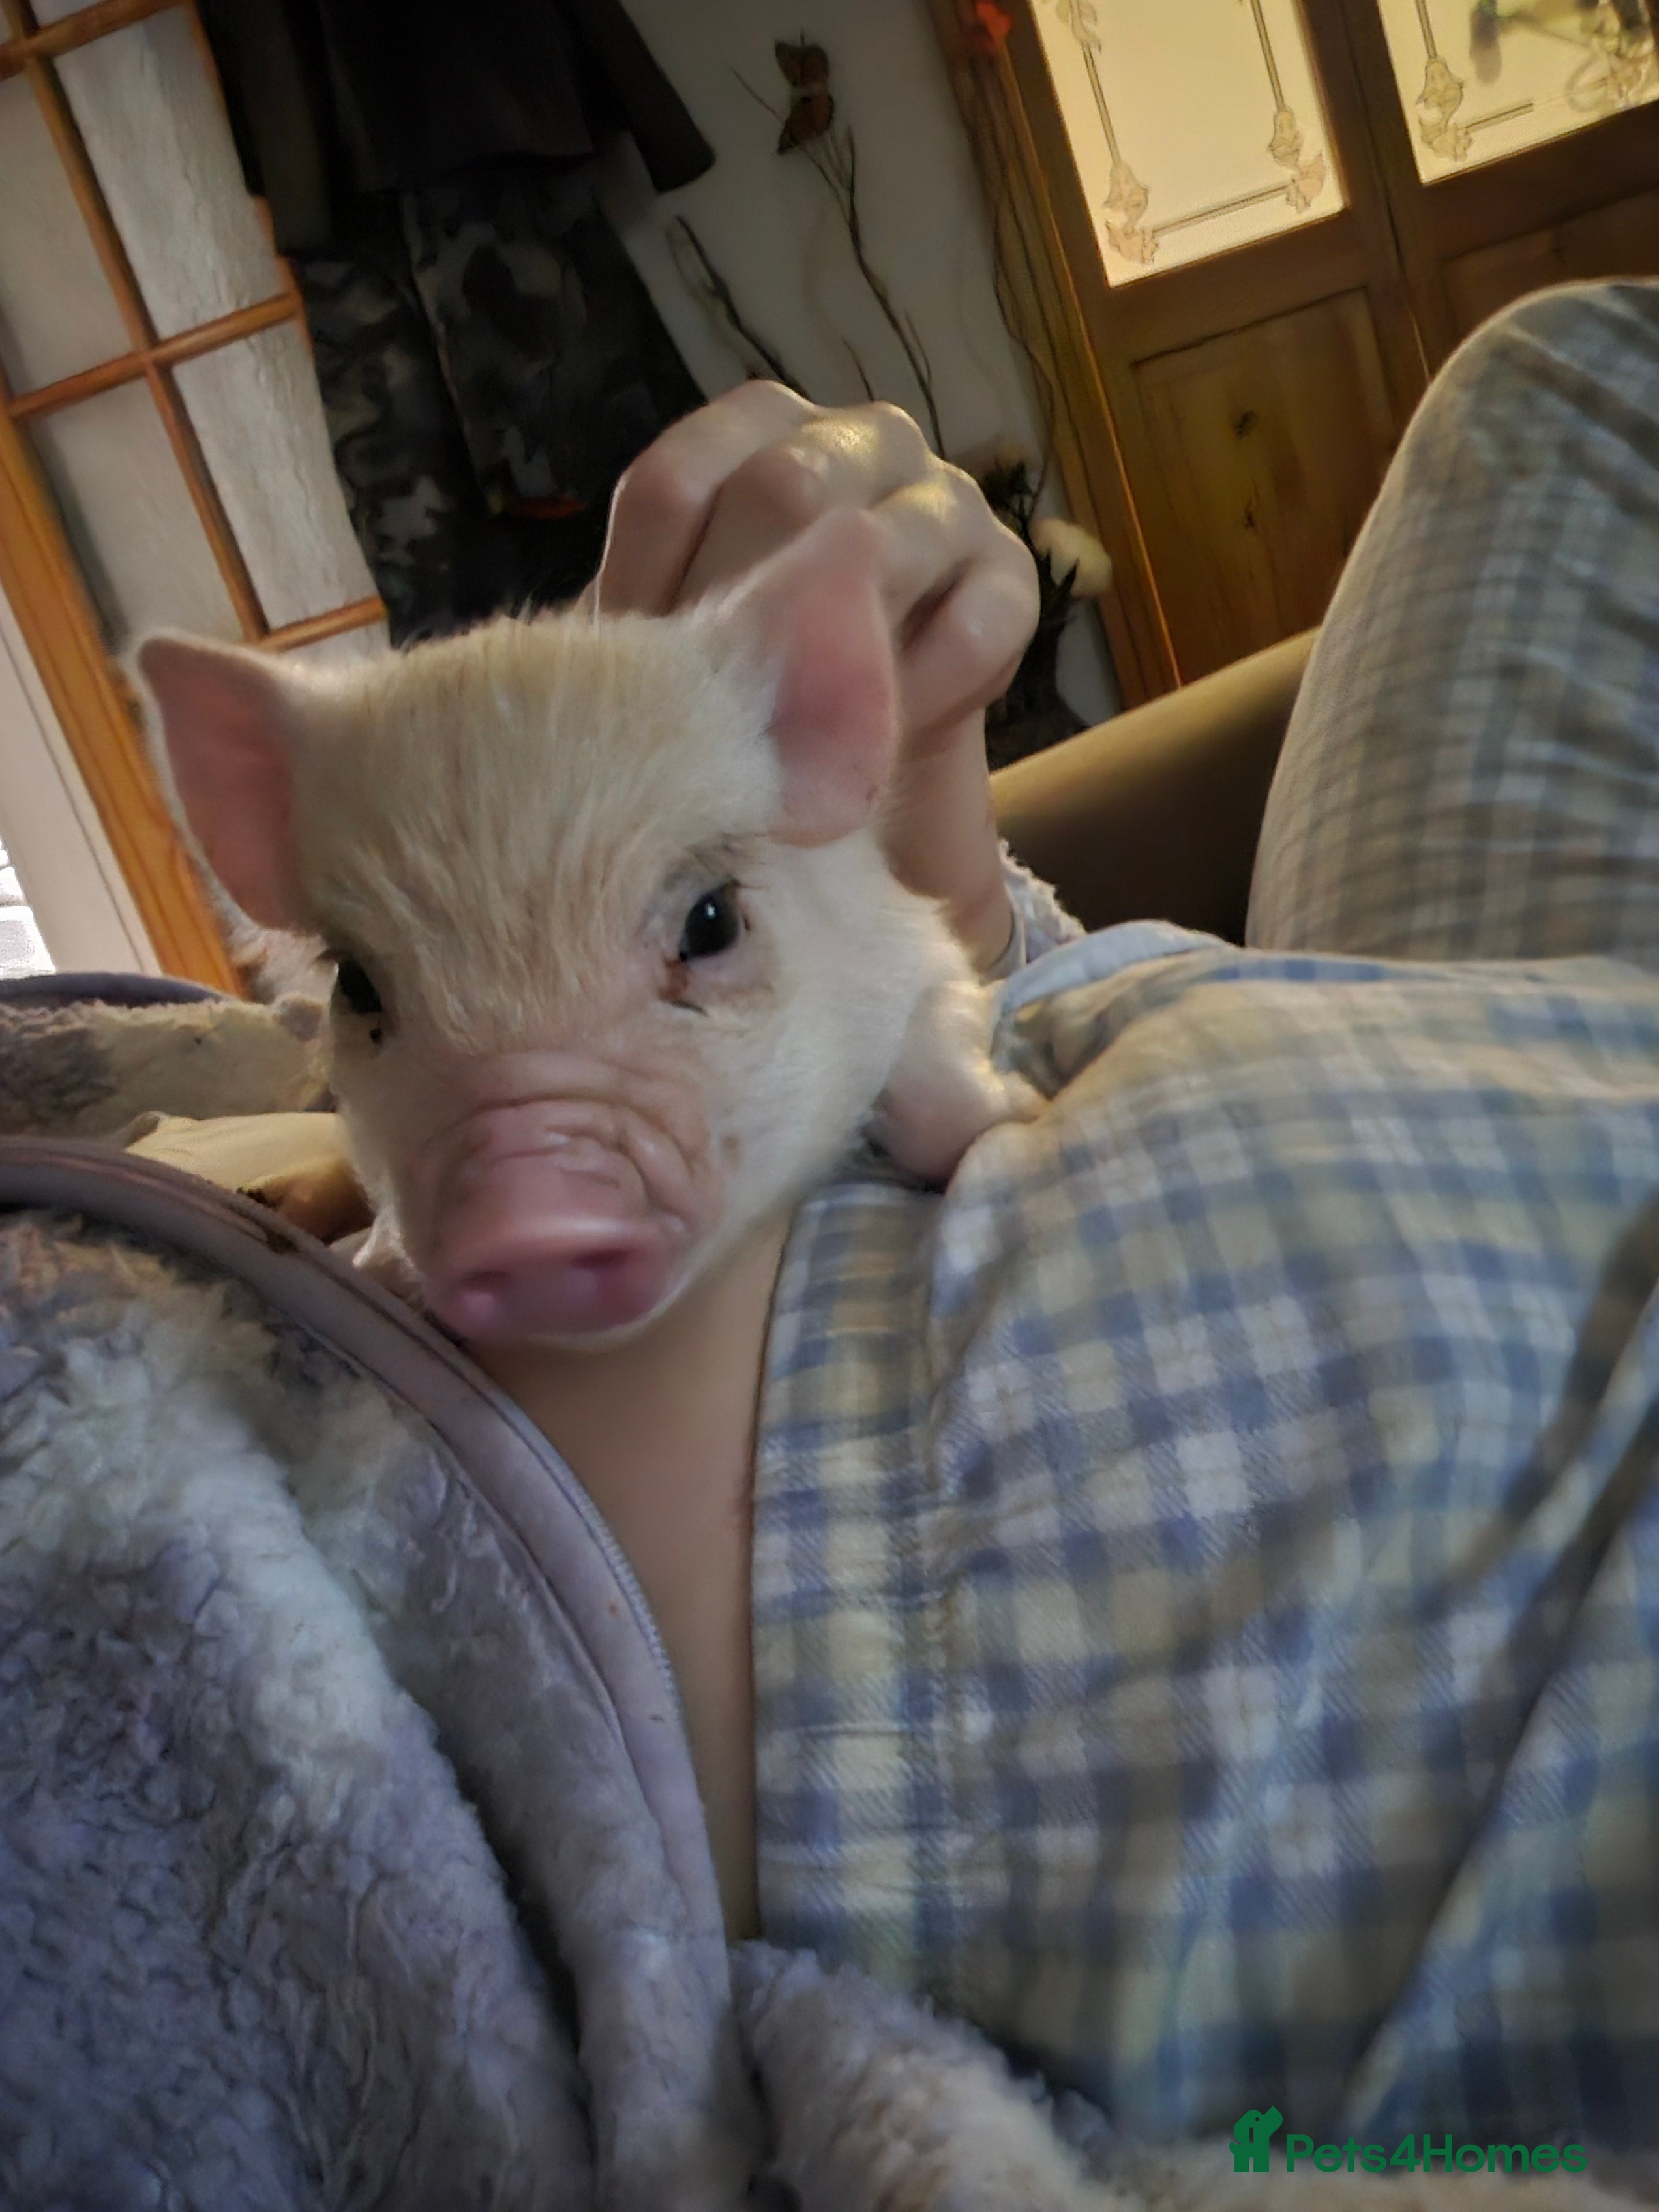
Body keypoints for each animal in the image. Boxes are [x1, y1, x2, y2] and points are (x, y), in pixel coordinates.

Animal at [136, 511, 1041, 1350]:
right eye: (355, 983)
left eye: (712, 921)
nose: (527, 1217)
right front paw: (377, 1267)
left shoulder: (922, 947)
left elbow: (940, 1090)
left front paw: (1017, 1112)